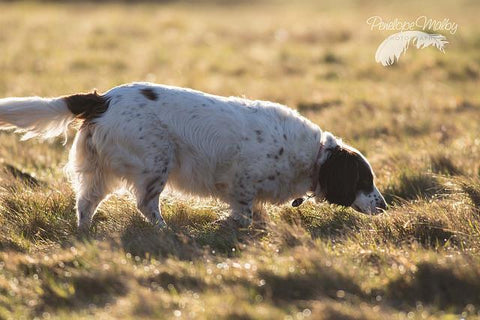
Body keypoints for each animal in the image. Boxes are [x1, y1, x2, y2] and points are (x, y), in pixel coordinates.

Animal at [0, 82, 386, 230]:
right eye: (364, 180)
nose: (384, 207)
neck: (314, 156)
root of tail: (103, 99)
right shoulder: (242, 181)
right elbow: (244, 213)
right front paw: (227, 226)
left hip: (100, 173)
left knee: (85, 204)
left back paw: (85, 232)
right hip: (156, 163)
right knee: (146, 205)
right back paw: (164, 230)